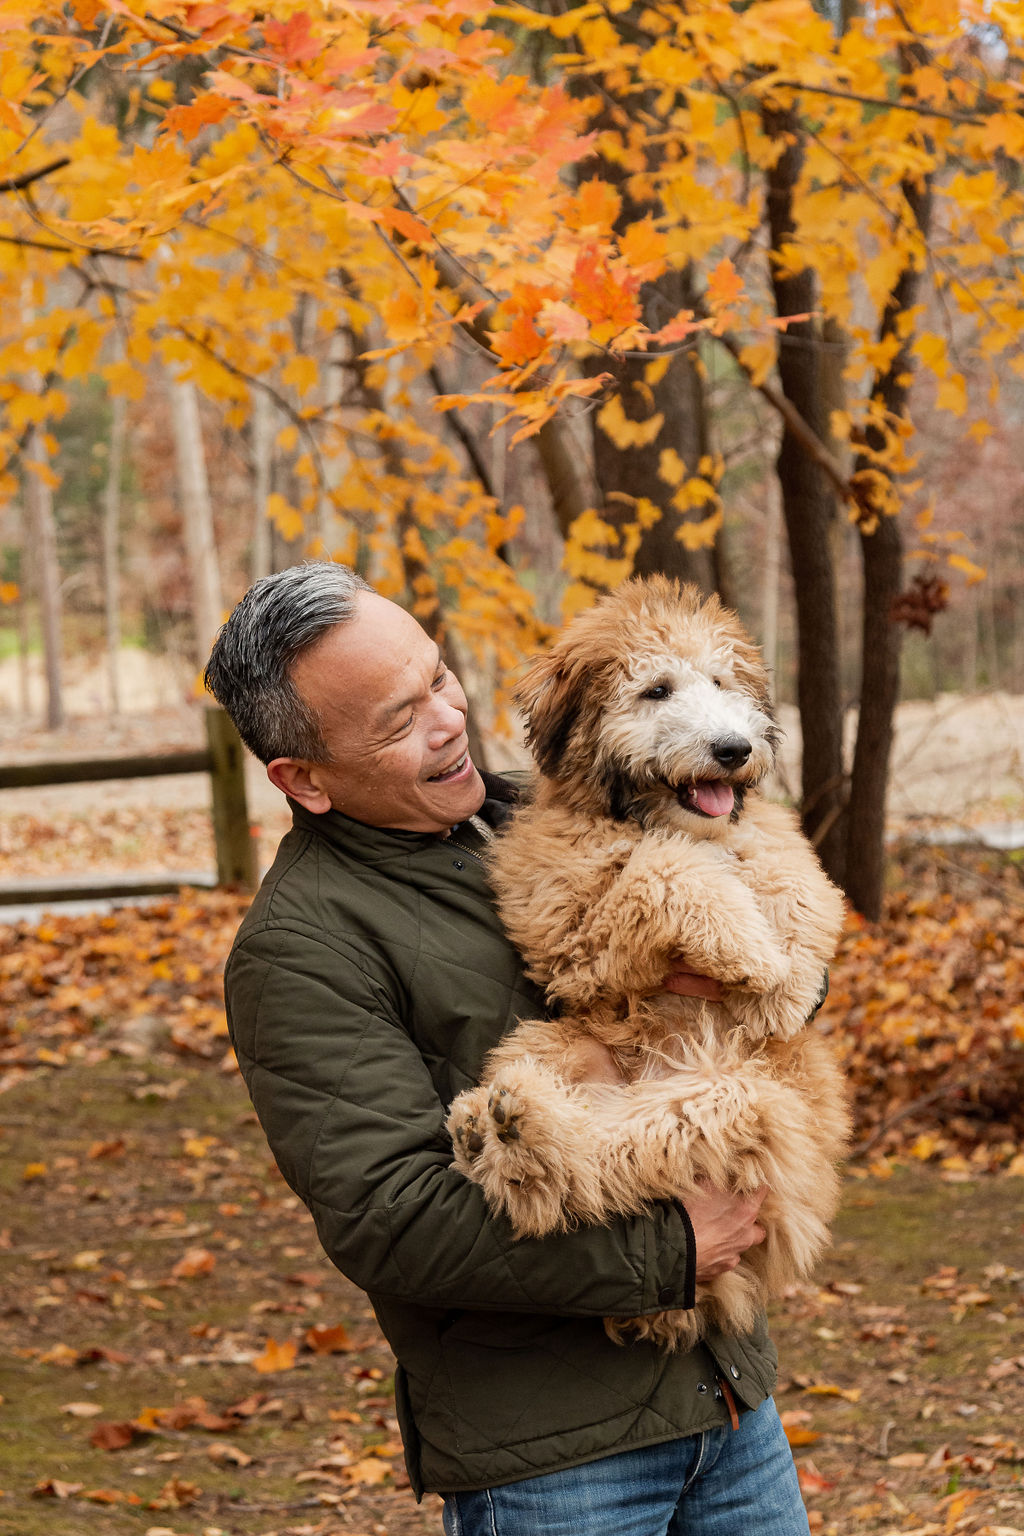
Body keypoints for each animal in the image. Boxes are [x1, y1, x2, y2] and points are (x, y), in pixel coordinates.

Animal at [448, 577, 847, 1345]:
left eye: (721, 683)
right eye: (656, 690)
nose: (734, 748)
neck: (654, 818)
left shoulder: (766, 840)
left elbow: (793, 874)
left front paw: (788, 977)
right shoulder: (565, 932)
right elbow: (664, 870)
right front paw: (752, 951)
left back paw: (495, 1135)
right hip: (691, 1090)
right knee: (608, 1155)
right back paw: (518, 1140)